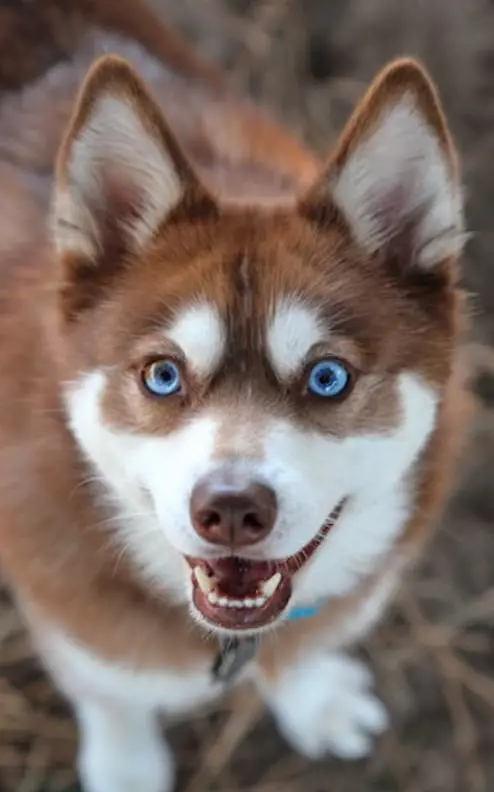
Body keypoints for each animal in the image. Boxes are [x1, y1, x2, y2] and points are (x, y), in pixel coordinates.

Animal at [0, 1, 470, 792]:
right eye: (162, 375)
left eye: (327, 378)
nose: (229, 509)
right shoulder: (70, 607)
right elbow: (106, 687)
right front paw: (125, 760)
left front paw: (313, 699)